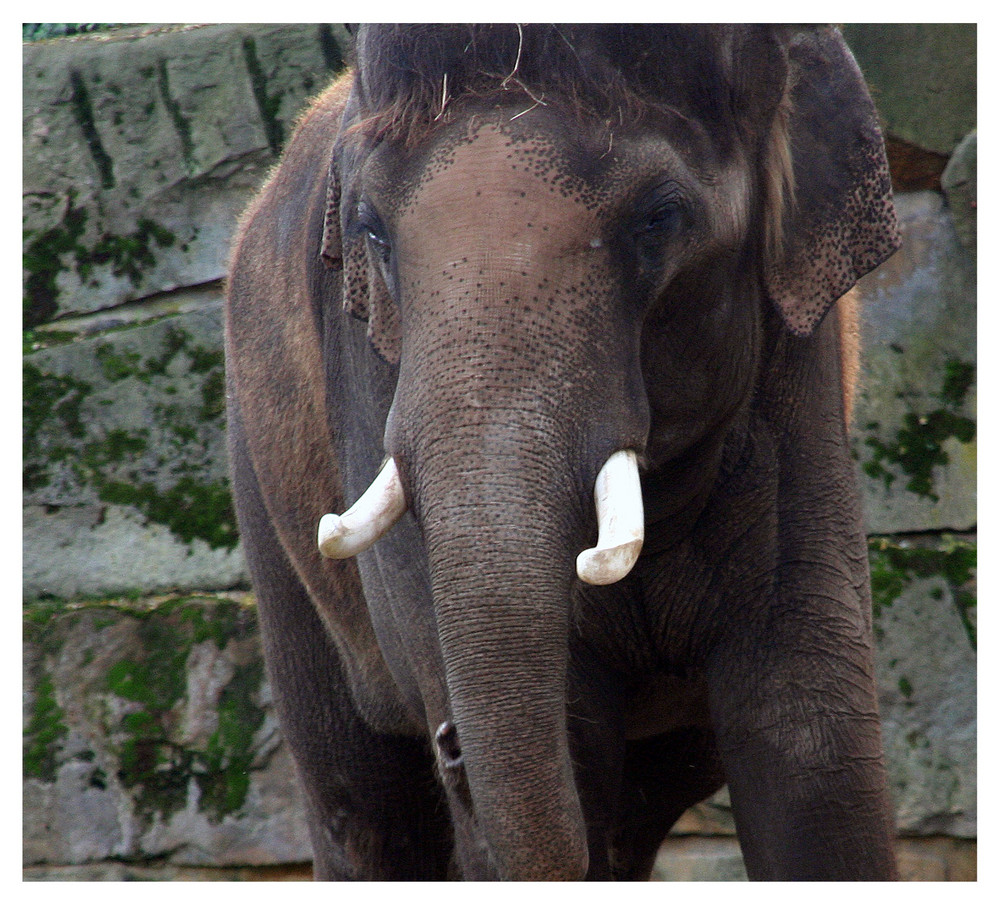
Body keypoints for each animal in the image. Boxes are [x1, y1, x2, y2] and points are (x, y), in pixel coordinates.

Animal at [225, 26, 900, 880]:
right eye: (370, 229)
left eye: (660, 218)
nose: (451, 744)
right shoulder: (370, 368)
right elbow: (571, 734)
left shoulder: (797, 378)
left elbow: (813, 746)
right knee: (364, 808)